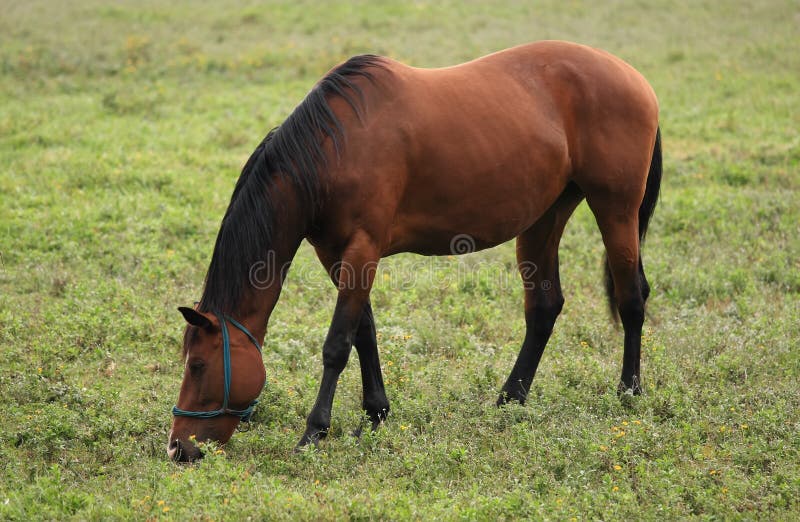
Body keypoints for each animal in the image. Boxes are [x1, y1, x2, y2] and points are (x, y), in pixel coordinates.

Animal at [164, 40, 664, 462]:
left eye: (199, 365)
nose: (178, 448)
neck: (333, 150)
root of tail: (634, 76)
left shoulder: (362, 249)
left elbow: (337, 344)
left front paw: (314, 432)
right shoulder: (336, 254)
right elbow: (364, 332)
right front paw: (376, 413)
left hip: (616, 209)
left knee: (630, 299)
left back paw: (628, 392)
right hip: (544, 218)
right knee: (545, 307)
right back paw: (510, 398)